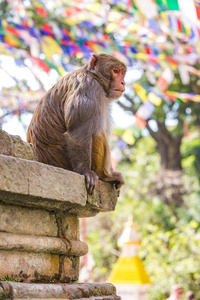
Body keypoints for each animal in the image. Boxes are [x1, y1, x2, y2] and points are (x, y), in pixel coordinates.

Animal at [27, 53, 126, 196]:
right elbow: (78, 133)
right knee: (96, 131)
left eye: (122, 72)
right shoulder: (88, 87)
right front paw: (85, 171)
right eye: (115, 71)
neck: (93, 75)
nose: (123, 82)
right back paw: (105, 175)